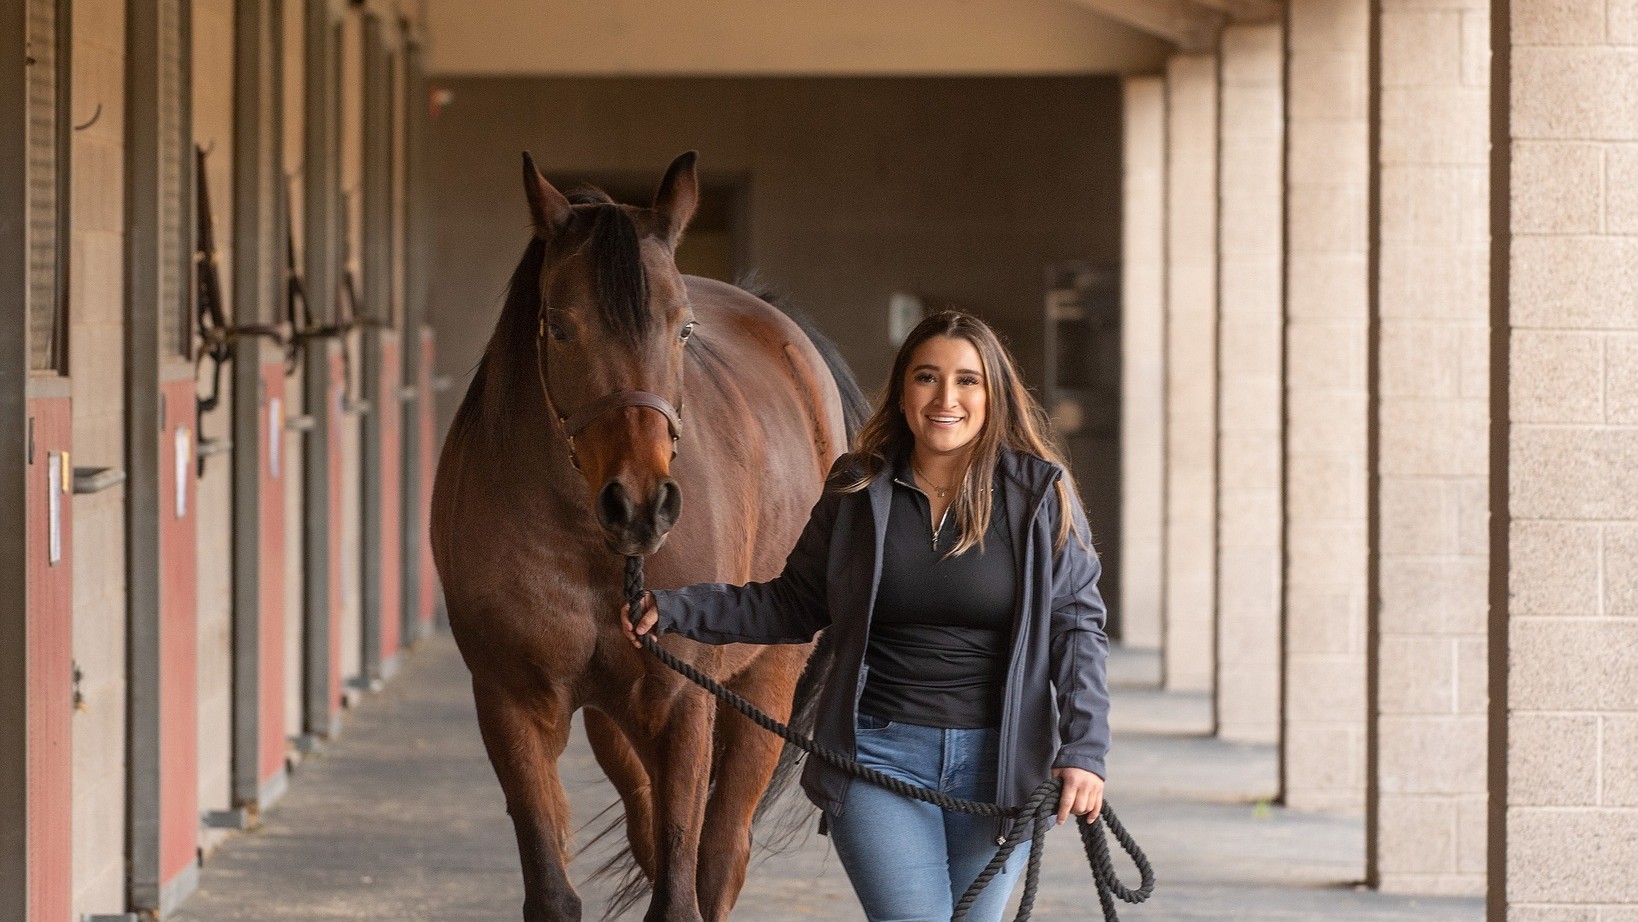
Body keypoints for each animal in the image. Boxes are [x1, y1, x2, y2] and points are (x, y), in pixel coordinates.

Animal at [435, 153, 871, 922]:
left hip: (764, 686)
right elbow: (554, 889)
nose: (640, 504)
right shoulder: (511, 702)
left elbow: (680, 890)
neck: (583, 541)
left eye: (684, 330)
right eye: (559, 326)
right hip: (617, 721)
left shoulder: (682, 706)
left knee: (720, 856)